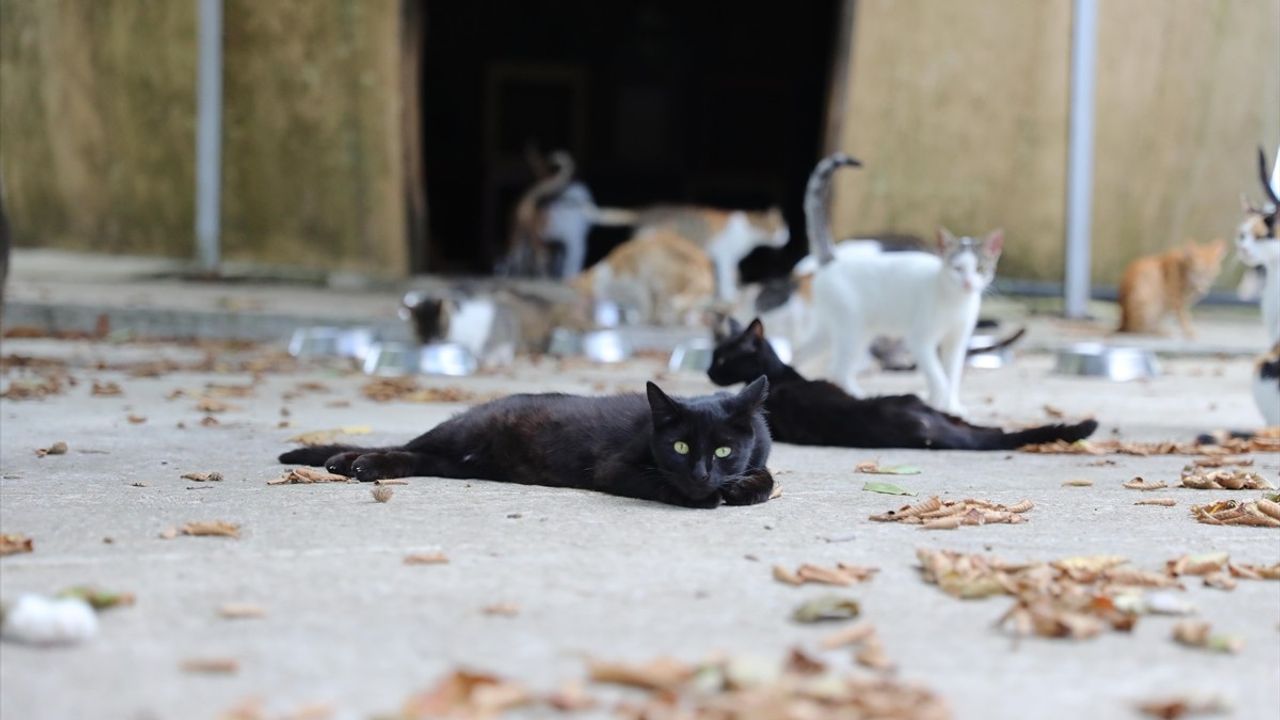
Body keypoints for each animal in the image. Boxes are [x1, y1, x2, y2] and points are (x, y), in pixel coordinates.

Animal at [573, 226, 716, 325]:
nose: (580, 315)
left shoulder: (638, 283)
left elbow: (645, 304)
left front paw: (641, 319)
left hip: (660, 277)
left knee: (675, 304)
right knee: (687, 307)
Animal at [798, 152, 998, 409]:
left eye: (980, 269)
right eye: (957, 268)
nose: (968, 283)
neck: (955, 301)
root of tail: (834, 260)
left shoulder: (956, 341)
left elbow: (952, 376)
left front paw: (951, 405)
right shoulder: (920, 341)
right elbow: (938, 376)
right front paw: (937, 401)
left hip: (839, 330)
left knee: (800, 353)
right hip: (852, 331)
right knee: (837, 369)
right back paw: (858, 397)